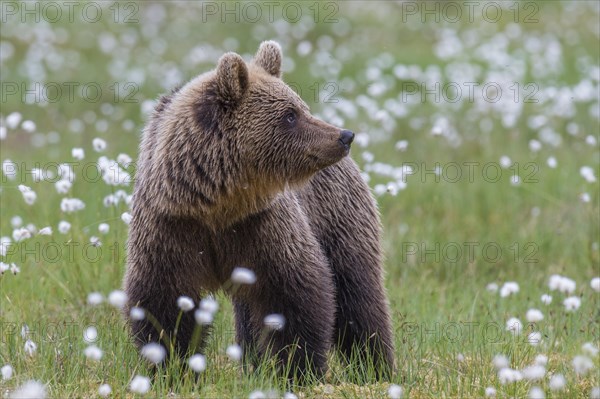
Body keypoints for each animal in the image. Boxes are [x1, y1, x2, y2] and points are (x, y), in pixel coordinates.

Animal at [123, 40, 394, 382]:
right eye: (290, 115)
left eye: (300, 107)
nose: (344, 136)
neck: (217, 203)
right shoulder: (171, 225)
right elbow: (163, 302)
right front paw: (172, 368)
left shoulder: (263, 225)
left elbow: (296, 291)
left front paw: (298, 370)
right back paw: (253, 365)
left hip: (338, 217)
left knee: (357, 293)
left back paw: (376, 366)